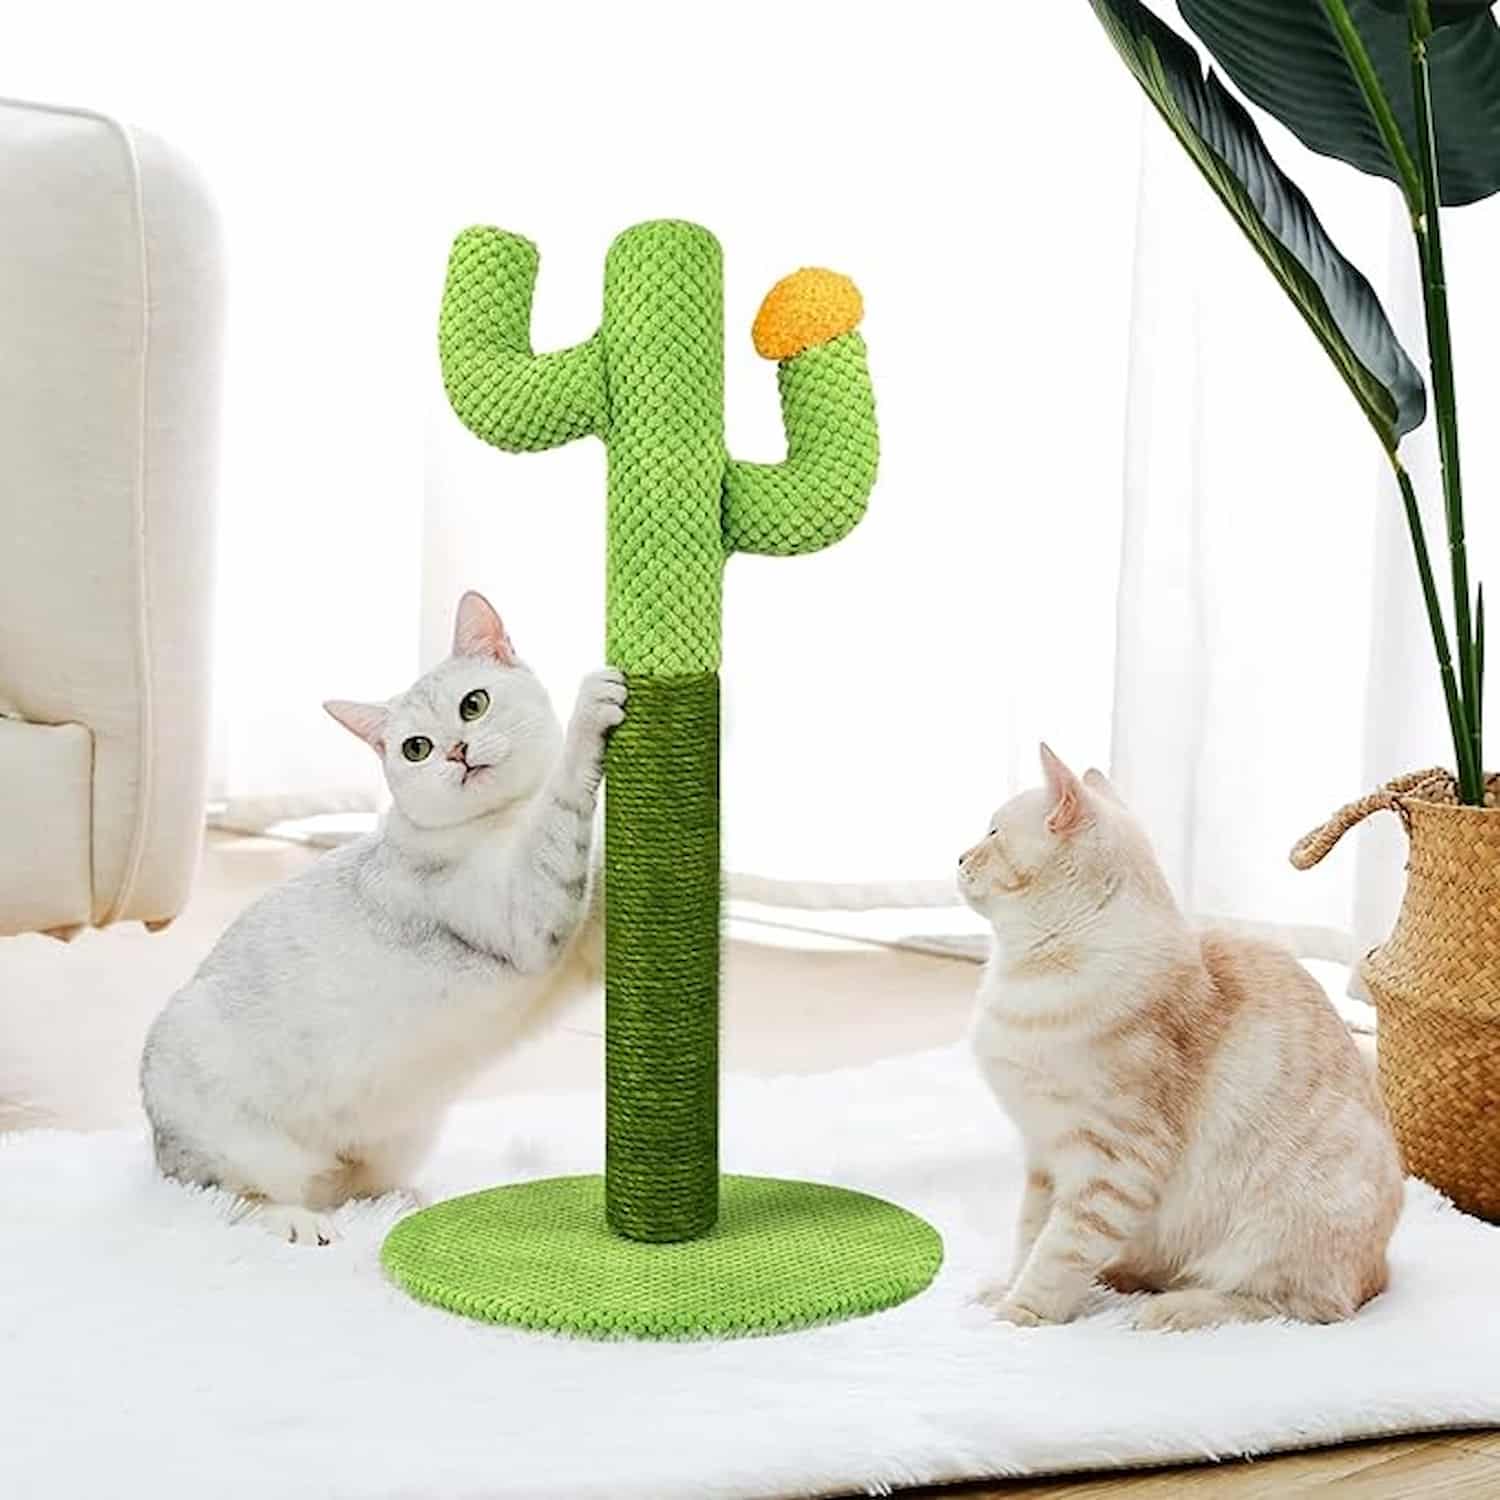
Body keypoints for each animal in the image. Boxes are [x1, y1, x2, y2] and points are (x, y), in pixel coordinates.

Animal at [140, 590, 624, 1245]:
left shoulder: (585, 936)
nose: (457, 752)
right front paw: (591, 709)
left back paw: (407, 1204)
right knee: (224, 1197)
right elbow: (562, 803)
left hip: (401, 1136)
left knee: (356, 1187)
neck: (503, 818)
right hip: (225, 1125)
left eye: (474, 705)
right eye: (416, 748)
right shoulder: (527, 911)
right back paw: (299, 1222)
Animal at [959, 744, 1403, 1332]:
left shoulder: (1113, 1165)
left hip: (1279, 1235)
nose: (959, 858)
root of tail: (1381, 1275)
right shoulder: (1043, 1156)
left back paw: (1171, 1309)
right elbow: (1030, 1236)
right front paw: (1006, 1288)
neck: (1026, 975)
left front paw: (1019, 1313)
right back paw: (1118, 1277)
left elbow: (1058, 1251)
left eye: (991, 833)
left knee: (1292, 1306)